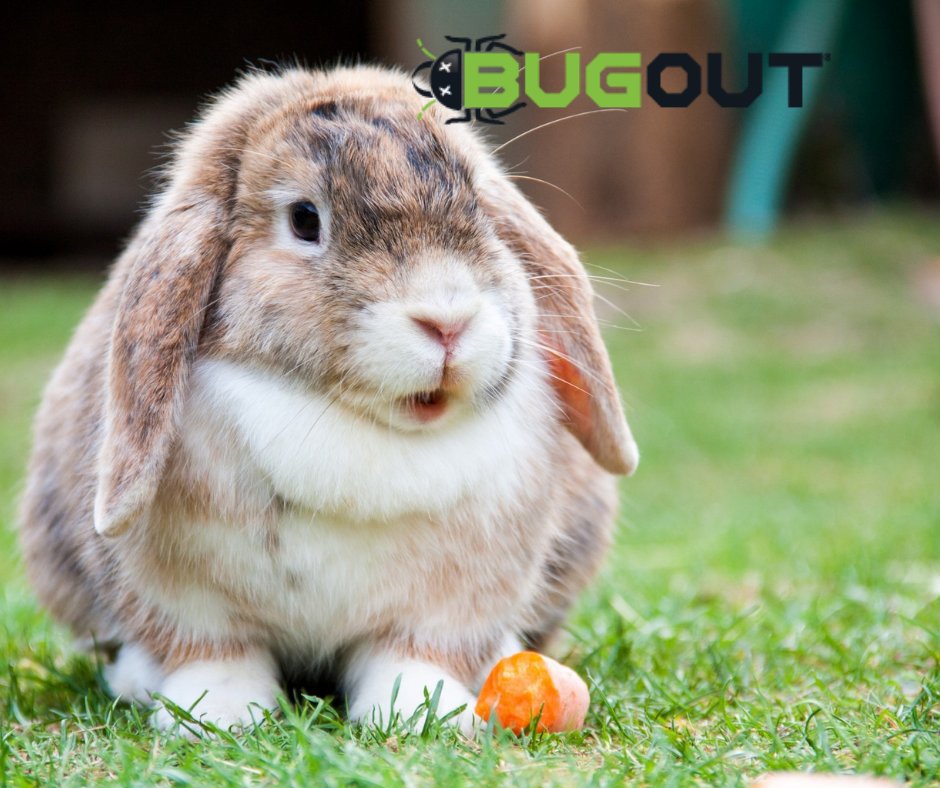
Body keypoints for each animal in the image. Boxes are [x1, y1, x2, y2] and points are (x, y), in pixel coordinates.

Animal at [17, 64, 638, 735]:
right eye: (305, 220)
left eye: (478, 204)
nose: (448, 321)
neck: (353, 423)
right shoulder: (186, 601)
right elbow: (215, 654)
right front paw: (217, 716)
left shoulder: (450, 603)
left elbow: (413, 656)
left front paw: (423, 715)